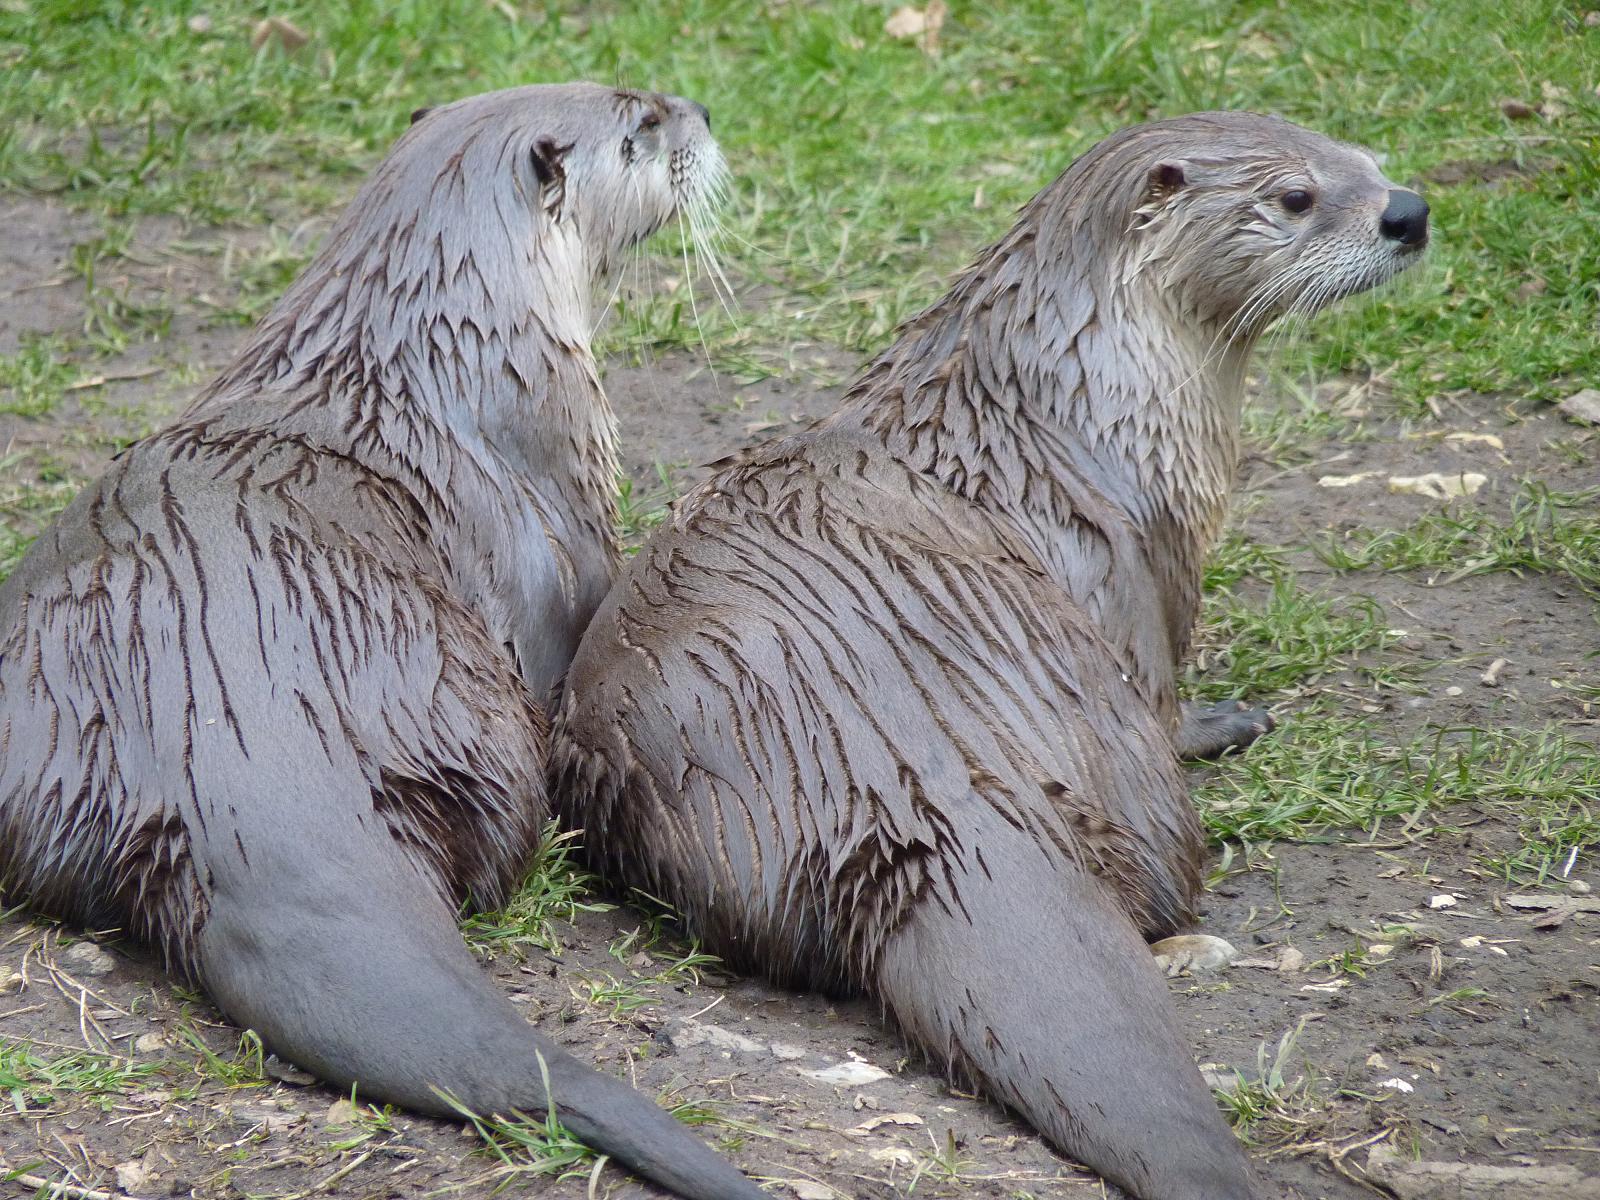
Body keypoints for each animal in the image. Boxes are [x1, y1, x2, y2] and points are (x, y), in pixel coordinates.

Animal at [555, 112, 1428, 1199]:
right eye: (1296, 197)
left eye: (1368, 158)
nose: (1409, 212)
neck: (1088, 405)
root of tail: (927, 793)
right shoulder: (1141, 567)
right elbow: (1164, 688)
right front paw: (1225, 719)